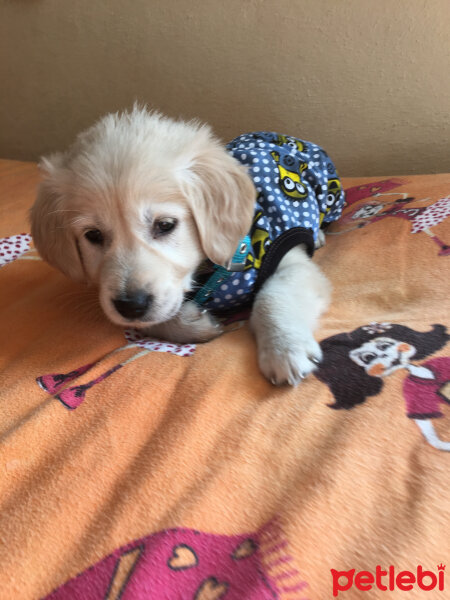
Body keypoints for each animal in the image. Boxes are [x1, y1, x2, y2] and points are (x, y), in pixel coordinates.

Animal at [30, 106, 344, 384]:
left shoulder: (289, 259)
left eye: (165, 225)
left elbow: (273, 297)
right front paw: (193, 324)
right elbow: (158, 315)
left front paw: (285, 348)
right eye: (93, 235)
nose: (130, 305)